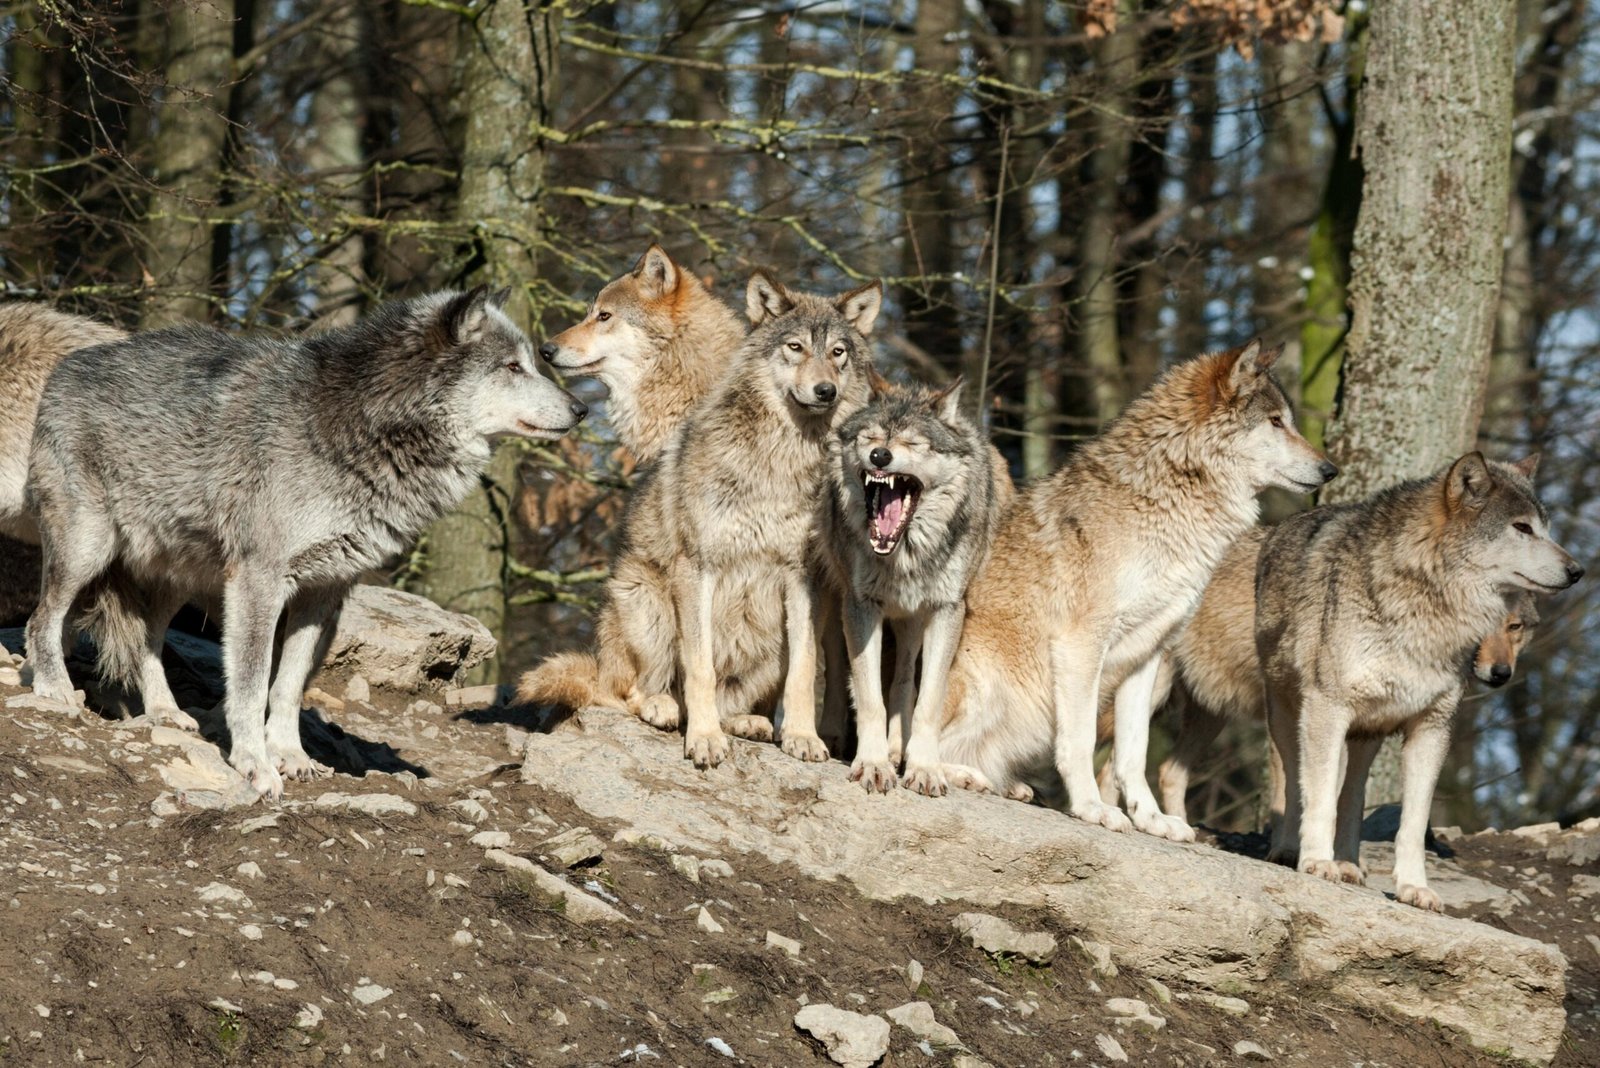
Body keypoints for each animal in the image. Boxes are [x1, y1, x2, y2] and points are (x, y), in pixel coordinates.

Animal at [26, 287, 587, 799]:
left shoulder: (324, 591)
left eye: (531, 363)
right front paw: (255, 765)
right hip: (88, 550)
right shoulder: (260, 582)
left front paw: (290, 756)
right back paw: (55, 689)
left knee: (143, 637)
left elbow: (289, 685)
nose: (582, 408)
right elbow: (251, 685)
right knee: (42, 619)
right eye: (513, 367)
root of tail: (67, 365)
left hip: (177, 578)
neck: (361, 425)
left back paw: (165, 712)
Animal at [520, 273, 880, 766]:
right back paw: (665, 707)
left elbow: (805, 672)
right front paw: (705, 739)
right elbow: (700, 665)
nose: (826, 391)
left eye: (838, 352)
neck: (781, 458)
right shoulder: (697, 567)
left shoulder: (805, 578)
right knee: (627, 691)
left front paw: (802, 737)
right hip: (643, 596)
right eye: (795, 347)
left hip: (769, 641)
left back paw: (748, 722)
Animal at [824, 373, 1006, 795]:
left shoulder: (946, 610)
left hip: (914, 622)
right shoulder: (861, 607)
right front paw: (872, 764)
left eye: (912, 443)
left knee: (905, 682)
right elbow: (869, 697)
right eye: (871, 437)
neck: (903, 555)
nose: (880, 457)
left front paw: (923, 768)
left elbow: (928, 702)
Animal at [931, 340, 1337, 839]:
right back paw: (956, 773)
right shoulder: (1082, 644)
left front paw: (1151, 819)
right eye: (1276, 421)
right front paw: (1091, 808)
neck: (1168, 500)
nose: (1330, 469)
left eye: (1290, 421)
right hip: (981, 683)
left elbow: (1133, 752)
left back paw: (1008, 785)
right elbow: (1081, 741)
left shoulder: (1148, 654)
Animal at [1256, 452, 1582, 910]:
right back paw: (1290, 851)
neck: (1429, 606)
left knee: (1352, 794)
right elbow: (1317, 799)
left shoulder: (1432, 727)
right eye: (1522, 528)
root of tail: (1285, 523)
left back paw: (1348, 864)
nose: (1578, 570)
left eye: (1547, 528)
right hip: (1292, 718)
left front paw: (1414, 887)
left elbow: (1412, 822)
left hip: (1366, 734)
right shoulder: (1327, 708)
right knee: (1293, 782)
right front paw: (1316, 862)